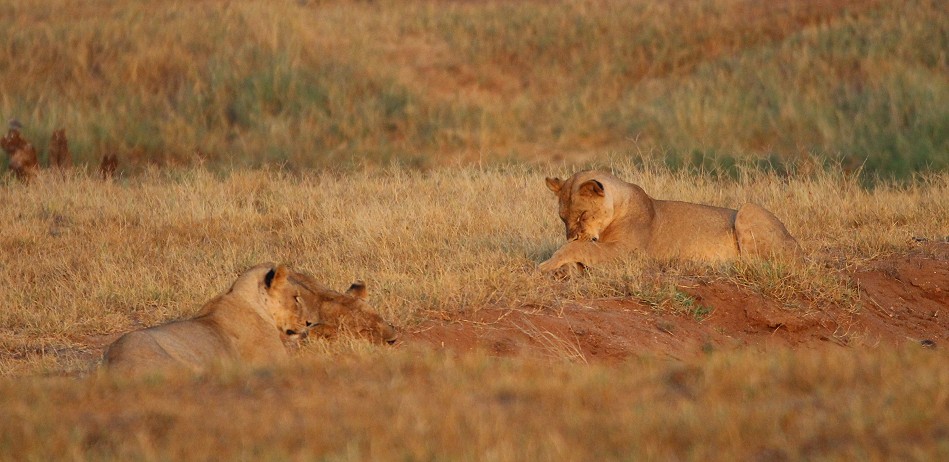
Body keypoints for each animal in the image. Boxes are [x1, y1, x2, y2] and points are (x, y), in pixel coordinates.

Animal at [536, 171, 796, 272]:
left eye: (582, 215)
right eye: (562, 218)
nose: (571, 235)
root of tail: (799, 250)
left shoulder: (626, 253)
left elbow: (579, 248)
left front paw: (547, 264)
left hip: (748, 209)